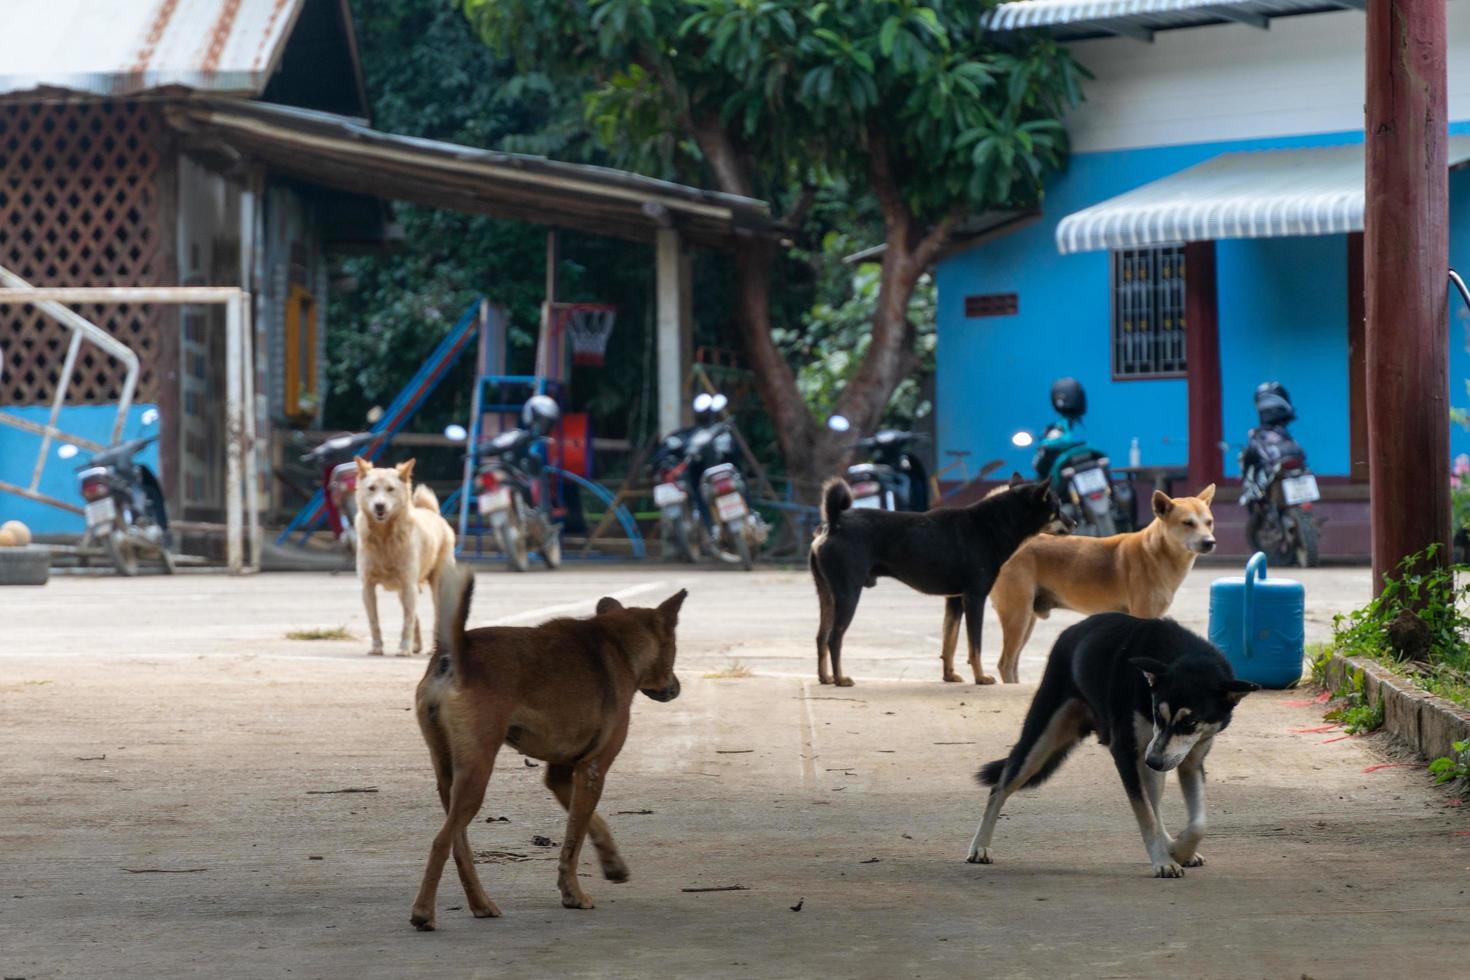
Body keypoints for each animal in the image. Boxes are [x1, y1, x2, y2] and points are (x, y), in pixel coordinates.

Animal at [352, 458, 449, 658]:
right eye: (371, 488)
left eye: (391, 489)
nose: (379, 506)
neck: (384, 537)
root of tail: (431, 512)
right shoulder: (368, 586)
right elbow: (374, 621)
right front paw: (377, 648)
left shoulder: (408, 584)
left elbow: (407, 621)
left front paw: (403, 649)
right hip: (402, 591)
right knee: (415, 615)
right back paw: (416, 646)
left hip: (436, 586)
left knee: (435, 616)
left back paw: (433, 648)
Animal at [414, 564, 687, 934]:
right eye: (674, 649)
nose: (677, 687)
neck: (618, 644)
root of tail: (456, 650)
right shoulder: (593, 770)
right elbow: (574, 840)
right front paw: (573, 894)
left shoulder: (562, 775)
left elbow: (591, 823)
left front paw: (612, 863)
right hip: (476, 774)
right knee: (441, 841)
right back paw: (423, 913)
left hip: (448, 776)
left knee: (460, 845)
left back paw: (481, 904)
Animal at [805, 470, 1070, 687]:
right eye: (1056, 508)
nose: (1075, 521)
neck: (994, 524)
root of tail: (835, 522)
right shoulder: (974, 598)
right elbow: (975, 645)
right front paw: (980, 677)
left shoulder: (954, 600)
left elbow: (949, 642)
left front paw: (949, 676)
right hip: (848, 593)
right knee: (834, 638)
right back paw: (840, 679)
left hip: (827, 594)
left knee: (820, 637)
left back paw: (825, 677)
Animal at [964, 487, 1217, 687]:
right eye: (1187, 523)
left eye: (1209, 522)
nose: (1209, 542)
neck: (1157, 553)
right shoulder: (1143, 615)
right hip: (1018, 615)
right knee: (1005, 663)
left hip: (1027, 619)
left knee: (1013, 663)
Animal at [964, 617, 1264, 875]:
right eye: (1157, 713)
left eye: (1190, 723)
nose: (1153, 761)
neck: (1185, 655)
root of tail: (1073, 629)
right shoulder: (1126, 753)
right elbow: (1146, 816)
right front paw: (1164, 860)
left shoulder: (1189, 760)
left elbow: (1198, 823)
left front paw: (1180, 850)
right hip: (1041, 740)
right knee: (999, 788)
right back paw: (979, 846)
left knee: (1155, 801)